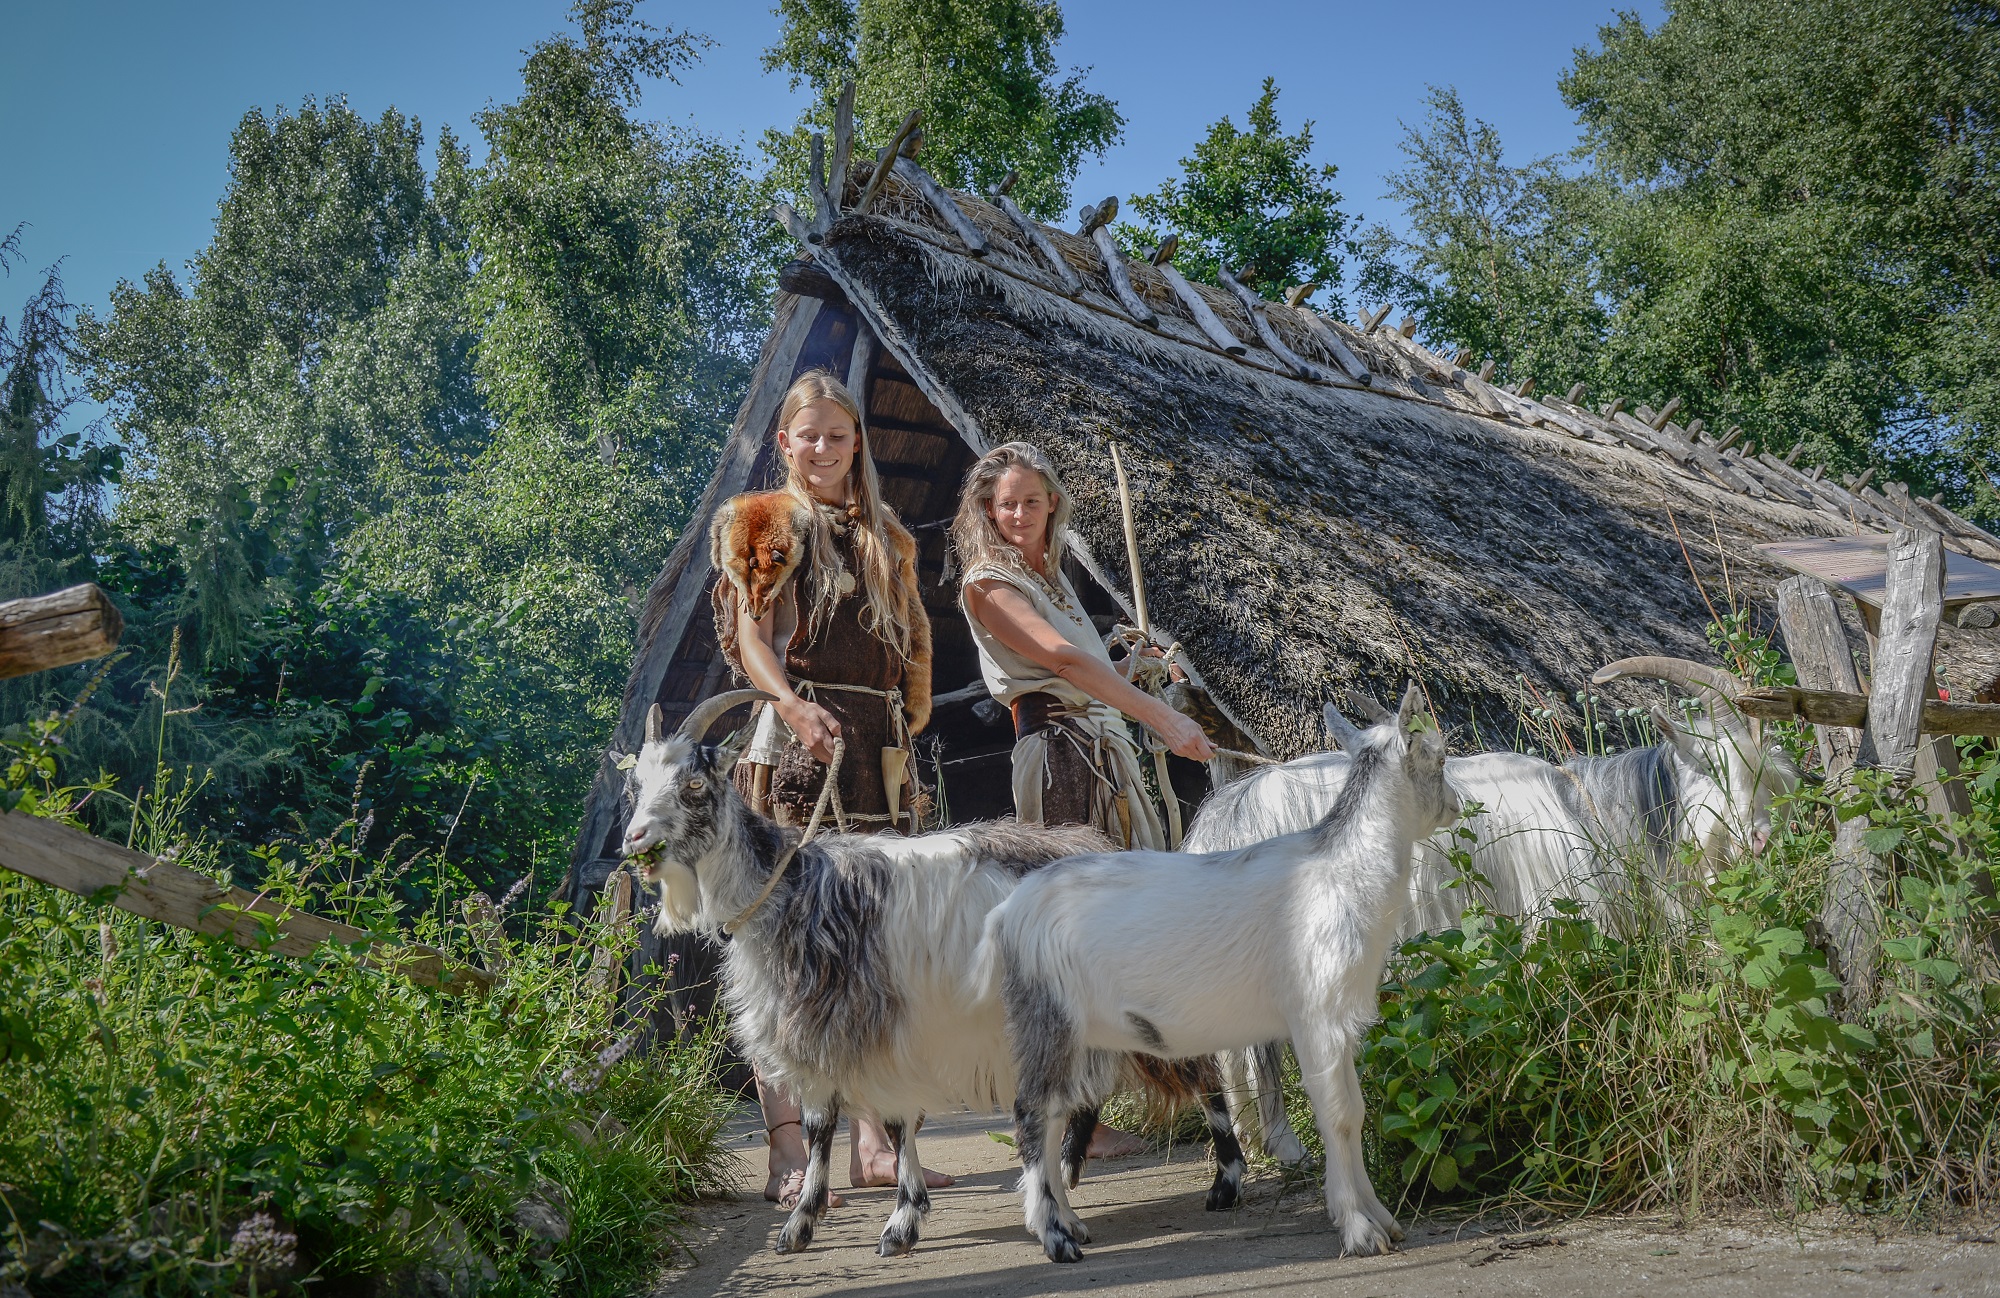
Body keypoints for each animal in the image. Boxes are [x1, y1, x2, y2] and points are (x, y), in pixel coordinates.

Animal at [620, 688, 1128, 1256]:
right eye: (635, 785)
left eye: (694, 784)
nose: (636, 840)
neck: (787, 889)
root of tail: (1094, 847)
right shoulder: (835, 1033)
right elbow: (830, 1124)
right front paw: (826, 1222)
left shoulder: (865, 1023)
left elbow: (880, 1119)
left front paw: (882, 1219)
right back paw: (1066, 1213)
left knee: (1053, 1105)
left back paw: (1056, 1216)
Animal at [980, 684, 1456, 1264]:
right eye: (1438, 755)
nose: (1458, 804)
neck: (1341, 874)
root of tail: (1009, 913)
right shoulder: (1314, 1014)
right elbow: (1337, 1114)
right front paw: (1359, 1230)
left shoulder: (1337, 1021)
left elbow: (1357, 1111)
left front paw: (1382, 1219)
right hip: (1047, 1021)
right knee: (1031, 1115)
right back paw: (1054, 1237)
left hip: (1079, 1035)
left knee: (1050, 1120)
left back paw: (1069, 1222)